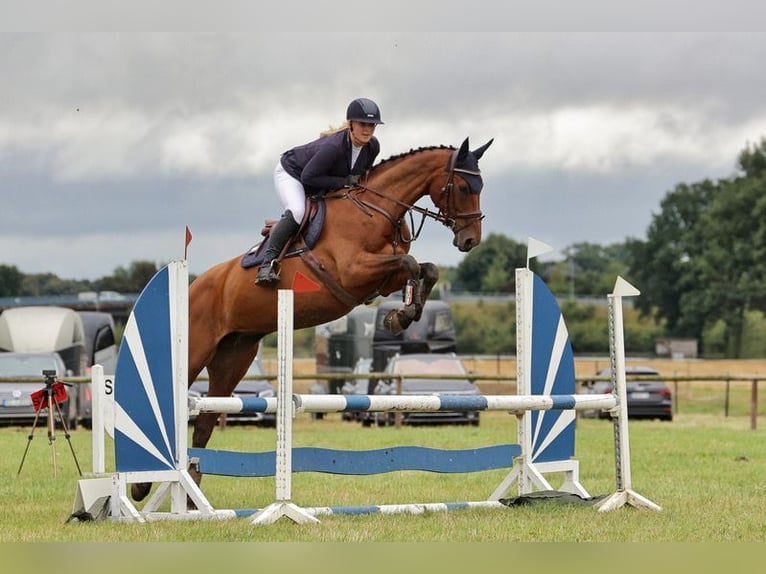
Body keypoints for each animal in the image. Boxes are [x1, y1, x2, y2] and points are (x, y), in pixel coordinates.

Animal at [130, 136, 492, 504]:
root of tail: (193, 285)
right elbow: (410, 262)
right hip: (196, 350)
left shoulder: (379, 278)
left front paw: (401, 315)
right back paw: (142, 485)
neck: (375, 210)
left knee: (206, 420)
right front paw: (401, 315)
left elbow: (425, 268)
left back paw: (191, 497)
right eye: (465, 186)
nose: (470, 240)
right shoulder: (353, 271)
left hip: (234, 356)